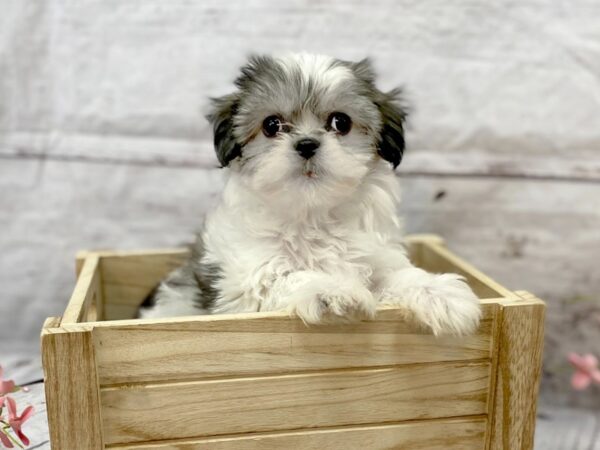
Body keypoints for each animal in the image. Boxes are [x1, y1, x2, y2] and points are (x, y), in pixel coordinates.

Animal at [138, 51, 480, 334]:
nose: (306, 144)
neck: (312, 215)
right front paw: (332, 290)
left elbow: (398, 275)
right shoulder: (246, 283)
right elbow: (288, 277)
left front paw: (439, 292)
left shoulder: (378, 256)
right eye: (272, 125)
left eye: (340, 122)